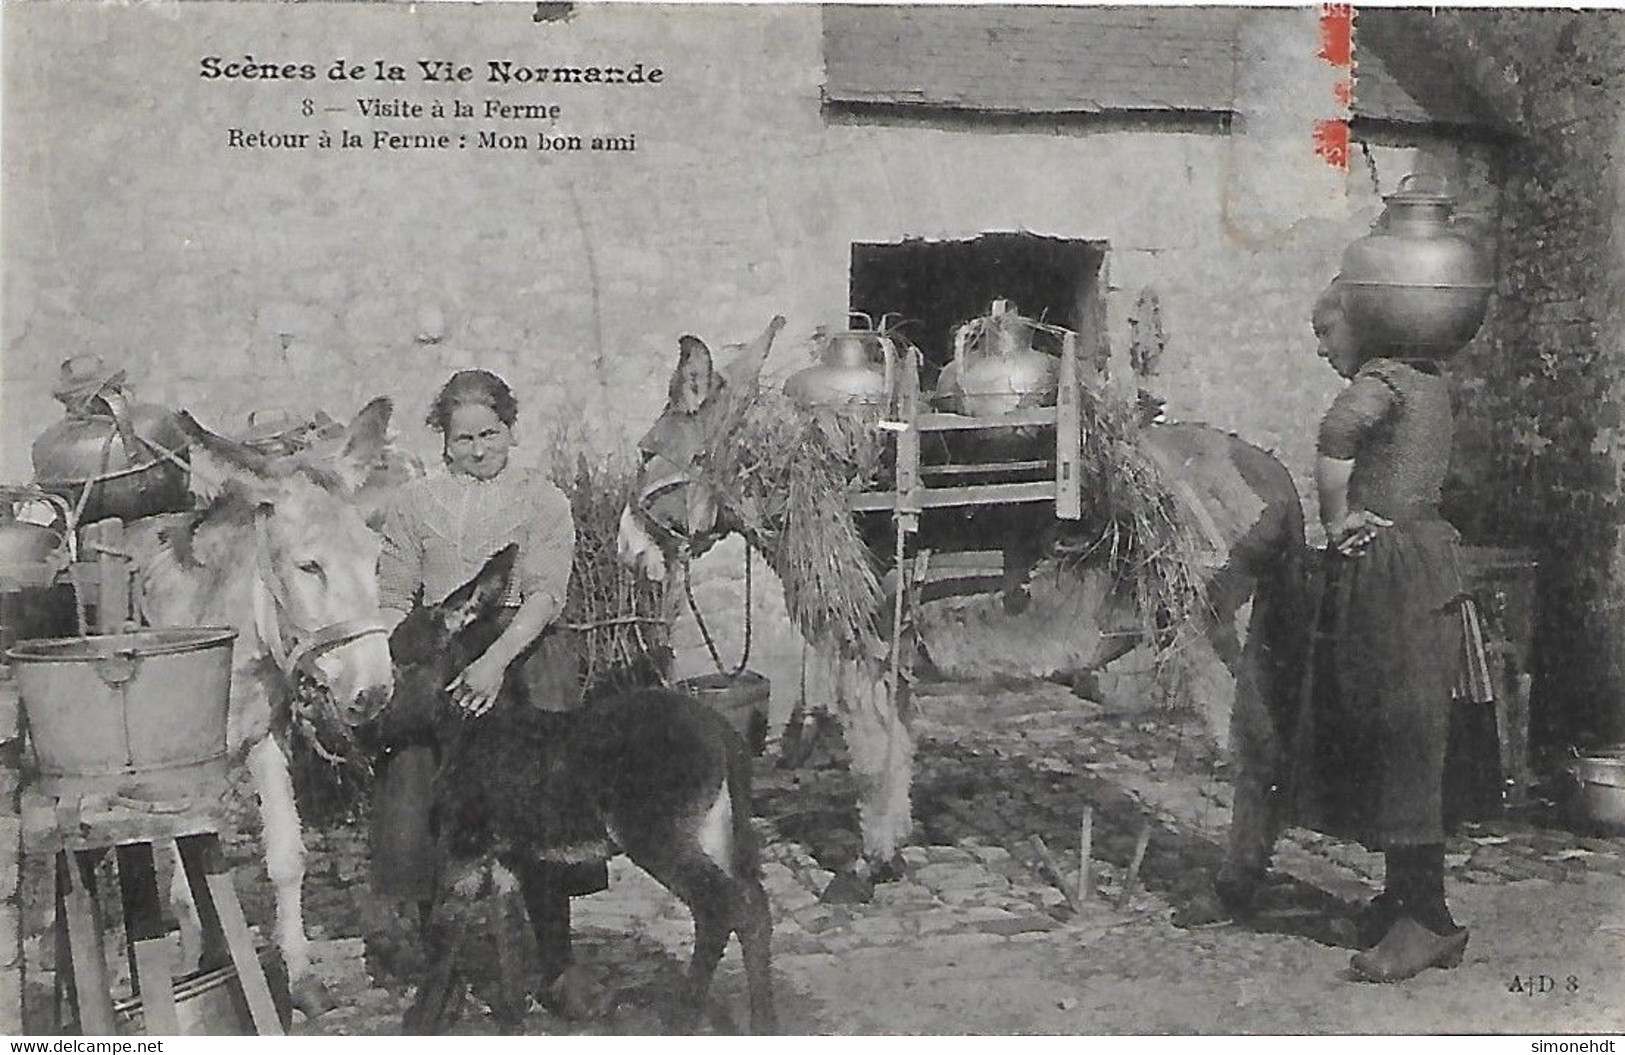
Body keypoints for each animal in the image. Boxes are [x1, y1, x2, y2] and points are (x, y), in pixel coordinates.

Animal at [377, 546, 776, 1033]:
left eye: (401, 657)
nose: (365, 721)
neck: (478, 730)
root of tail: (723, 734)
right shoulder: (507, 856)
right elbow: (508, 936)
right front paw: (513, 1022)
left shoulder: (464, 850)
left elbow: (443, 934)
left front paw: (420, 1022)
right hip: (714, 828)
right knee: (753, 908)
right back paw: (766, 1023)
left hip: (656, 836)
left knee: (719, 907)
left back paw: (683, 1019)